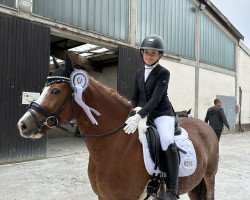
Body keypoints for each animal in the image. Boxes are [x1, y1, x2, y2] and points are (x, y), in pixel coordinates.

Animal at [17, 55, 218, 200]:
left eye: (56, 91)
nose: (23, 125)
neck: (114, 143)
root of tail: (204, 126)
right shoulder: (103, 197)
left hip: (209, 177)